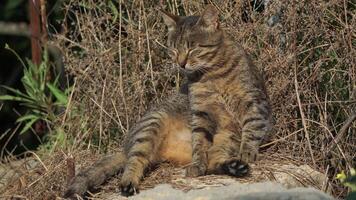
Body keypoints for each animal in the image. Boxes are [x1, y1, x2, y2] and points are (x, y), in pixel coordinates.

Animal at [64, 5, 272, 198]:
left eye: (192, 48)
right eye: (173, 49)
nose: (181, 63)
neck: (212, 75)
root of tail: (125, 147)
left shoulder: (254, 102)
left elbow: (252, 129)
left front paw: (247, 153)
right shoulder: (200, 112)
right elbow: (199, 144)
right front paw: (198, 163)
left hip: (227, 136)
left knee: (214, 160)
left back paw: (234, 166)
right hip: (152, 124)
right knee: (136, 159)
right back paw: (129, 182)